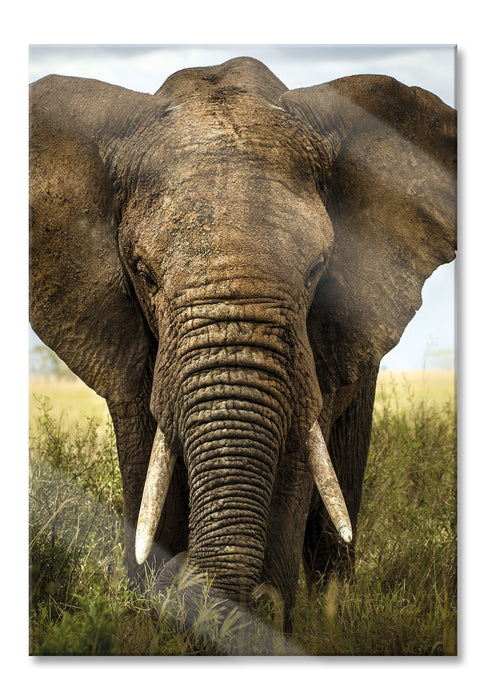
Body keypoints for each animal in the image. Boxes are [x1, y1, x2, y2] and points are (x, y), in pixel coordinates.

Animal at [29, 56, 456, 634]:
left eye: (318, 269)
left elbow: (299, 459)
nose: (194, 583)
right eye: (143, 273)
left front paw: (268, 617)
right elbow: (147, 465)